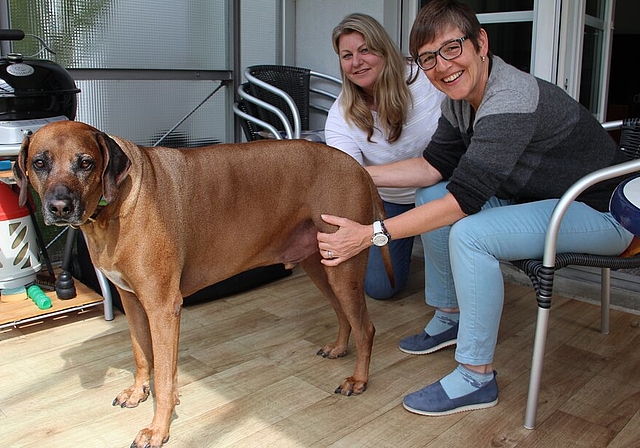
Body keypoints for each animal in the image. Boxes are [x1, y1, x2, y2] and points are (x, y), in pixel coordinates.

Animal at [15, 121, 392, 448]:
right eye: (39, 162)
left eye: (86, 163)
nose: (59, 208)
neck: (116, 204)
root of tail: (358, 167)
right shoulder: (132, 301)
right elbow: (142, 355)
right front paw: (138, 392)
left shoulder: (163, 308)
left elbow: (165, 376)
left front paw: (158, 429)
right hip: (322, 264)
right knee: (344, 314)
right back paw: (339, 348)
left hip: (344, 267)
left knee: (366, 326)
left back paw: (359, 379)